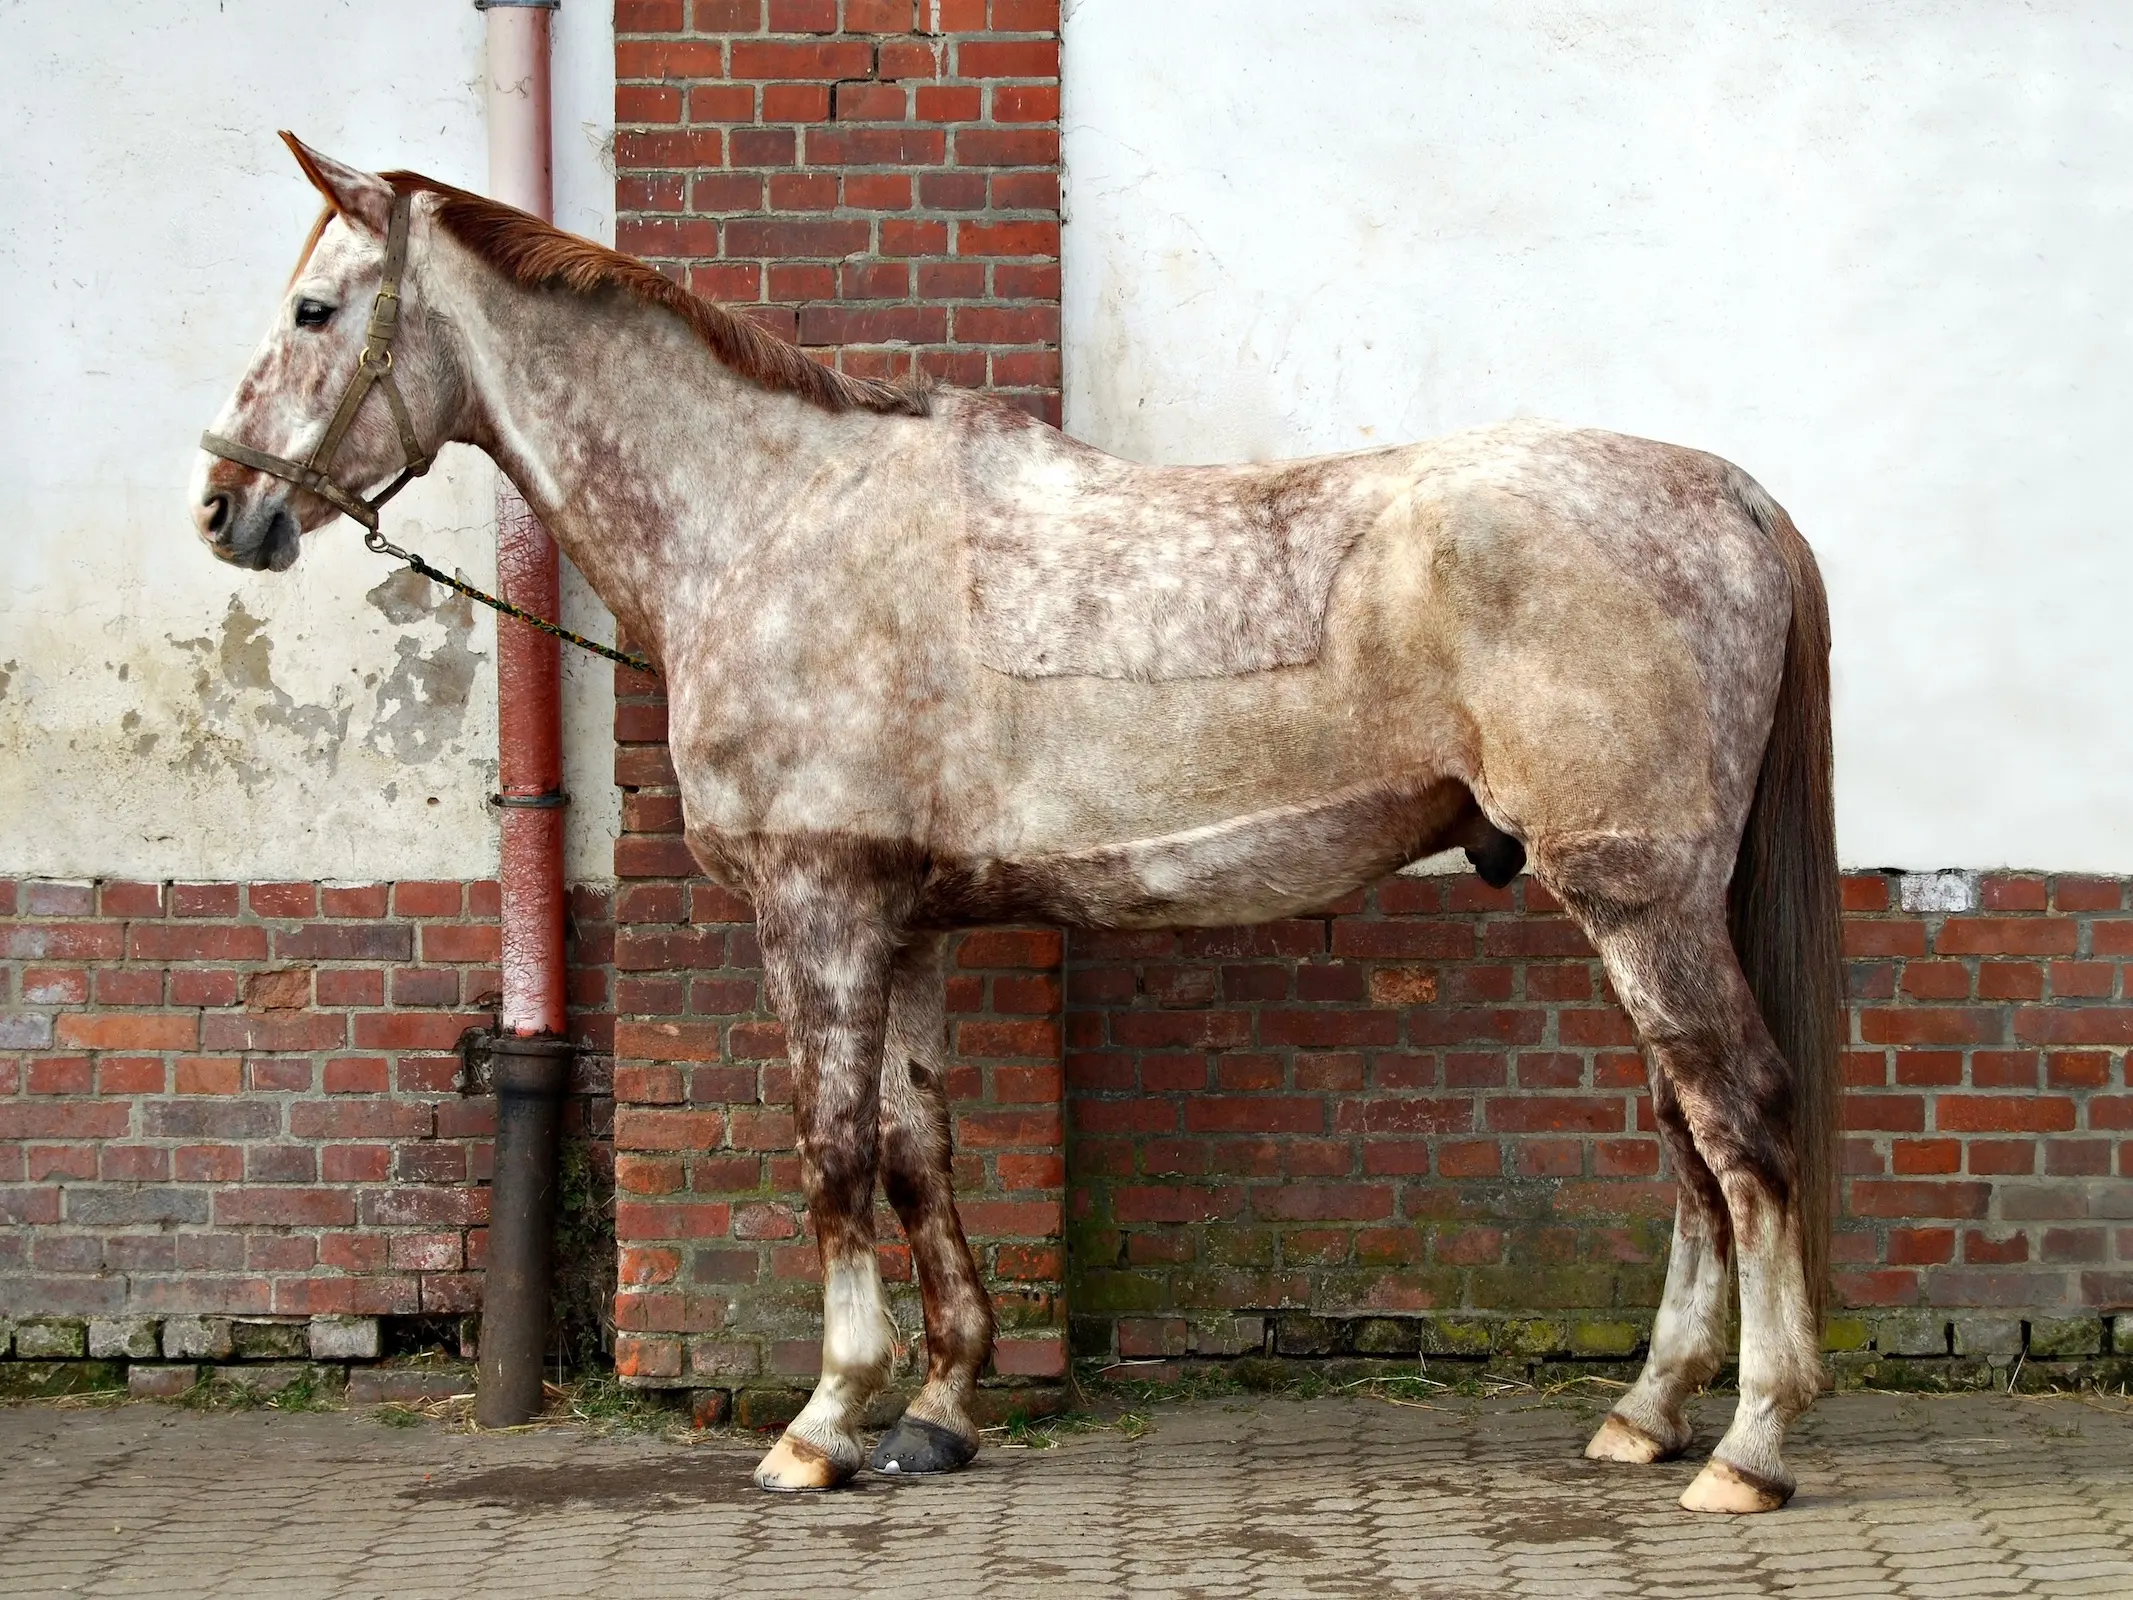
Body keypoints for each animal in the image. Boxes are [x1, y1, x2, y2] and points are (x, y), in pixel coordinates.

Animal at [191, 137, 1842, 1518]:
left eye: (319, 308)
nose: (223, 507)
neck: (773, 521)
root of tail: (1737, 498)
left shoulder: (816, 907)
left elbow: (833, 1160)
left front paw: (823, 1424)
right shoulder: (902, 921)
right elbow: (919, 1155)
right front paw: (936, 1410)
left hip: (1638, 898)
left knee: (1740, 1120)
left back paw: (1750, 1445)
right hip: (1639, 902)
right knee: (1688, 1141)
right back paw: (1648, 1413)